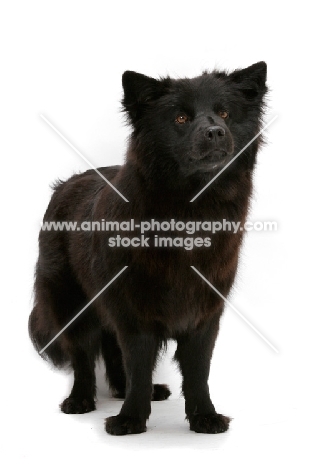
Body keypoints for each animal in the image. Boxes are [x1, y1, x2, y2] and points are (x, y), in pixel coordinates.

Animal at [29, 63, 266, 436]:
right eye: (181, 118)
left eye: (226, 113)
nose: (215, 132)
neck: (190, 209)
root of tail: (66, 184)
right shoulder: (134, 311)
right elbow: (139, 365)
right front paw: (130, 418)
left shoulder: (204, 314)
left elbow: (198, 372)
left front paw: (205, 417)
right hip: (72, 303)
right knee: (83, 357)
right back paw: (80, 400)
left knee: (112, 350)